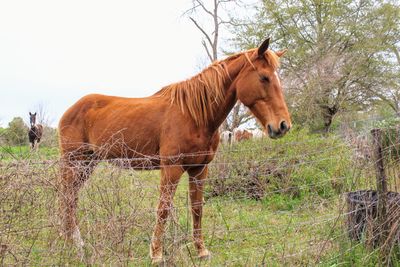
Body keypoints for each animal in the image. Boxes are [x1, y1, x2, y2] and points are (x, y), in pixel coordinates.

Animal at [57, 37, 290, 264]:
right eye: (264, 77)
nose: (283, 125)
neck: (196, 115)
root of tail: (70, 110)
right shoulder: (172, 168)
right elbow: (163, 209)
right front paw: (156, 253)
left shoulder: (199, 169)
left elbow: (197, 208)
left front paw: (201, 250)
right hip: (75, 162)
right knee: (68, 197)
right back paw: (72, 243)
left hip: (87, 164)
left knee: (71, 198)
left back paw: (72, 241)